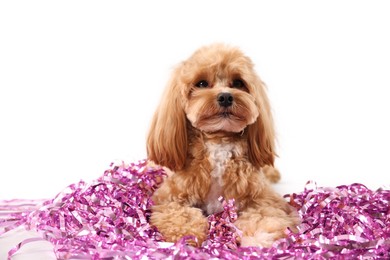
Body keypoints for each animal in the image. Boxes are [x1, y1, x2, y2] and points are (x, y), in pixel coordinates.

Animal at [146, 43, 298, 247]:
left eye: (238, 83)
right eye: (202, 83)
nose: (225, 96)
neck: (218, 142)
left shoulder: (264, 198)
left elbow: (265, 216)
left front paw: (260, 236)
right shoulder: (168, 198)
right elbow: (180, 215)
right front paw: (187, 234)